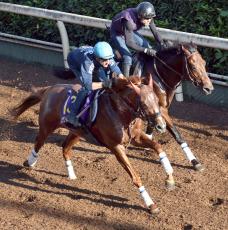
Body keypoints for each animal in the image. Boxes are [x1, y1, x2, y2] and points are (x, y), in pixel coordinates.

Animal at [10, 76, 167, 214]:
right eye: (144, 104)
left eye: (157, 101)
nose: (161, 125)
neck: (119, 112)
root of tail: (50, 89)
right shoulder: (116, 146)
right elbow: (135, 176)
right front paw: (151, 205)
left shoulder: (136, 138)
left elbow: (157, 146)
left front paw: (169, 177)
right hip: (47, 126)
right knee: (39, 142)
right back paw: (30, 162)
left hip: (77, 132)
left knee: (65, 147)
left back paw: (71, 175)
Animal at [136, 43, 215, 171]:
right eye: (193, 66)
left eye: (204, 63)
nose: (209, 88)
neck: (158, 75)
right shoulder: (161, 109)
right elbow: (177, 135)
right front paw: (195, 161)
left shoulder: (159, 108)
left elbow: (152, 124)